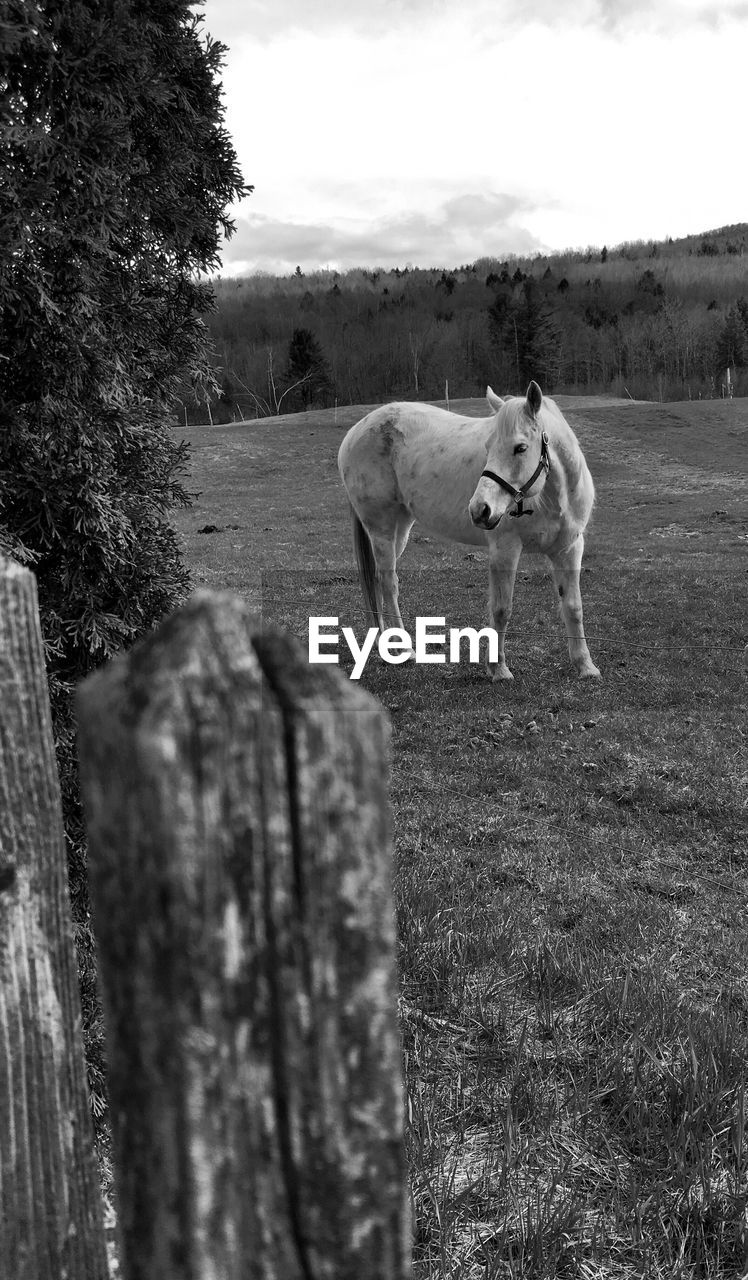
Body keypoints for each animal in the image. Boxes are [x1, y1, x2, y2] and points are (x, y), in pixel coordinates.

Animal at [338, 378, 601, 680]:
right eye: (488, 446)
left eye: (520, 448)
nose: (479, 510)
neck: (552, 496)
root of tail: (355, 432)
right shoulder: (505, 549)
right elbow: (502, 609)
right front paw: (498, 669)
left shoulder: (569, 549)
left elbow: (573, 607)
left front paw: (585, 666)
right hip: (381, 528)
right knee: (388, 583)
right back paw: (403, 651)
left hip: (399, 529)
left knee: (378, 582)